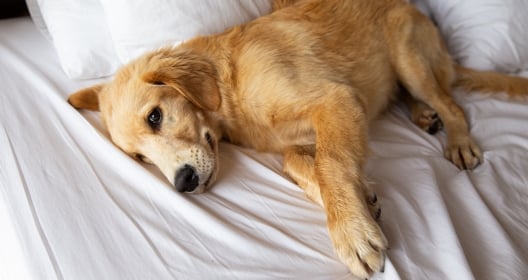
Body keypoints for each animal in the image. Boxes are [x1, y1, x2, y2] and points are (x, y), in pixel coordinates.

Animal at [69, 0, 528, 276]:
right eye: (140, 158)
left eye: (155, 116)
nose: (183, 183)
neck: (228, 83)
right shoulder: (297, 139)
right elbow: (307, 164)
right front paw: (361, 199)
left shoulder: (335, 100)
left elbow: (332, 162)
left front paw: (349, 232)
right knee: (412, 97)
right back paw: (422, 114)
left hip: (407, 54)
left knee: (452, 103)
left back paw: (456, 137)